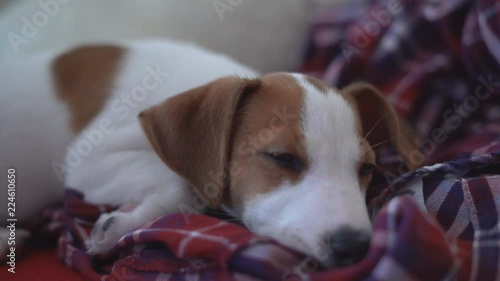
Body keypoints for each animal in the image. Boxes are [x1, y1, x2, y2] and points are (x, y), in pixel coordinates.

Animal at [0, 38, 422, 264]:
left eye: (366, 169)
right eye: (282, 158)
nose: (355, 247)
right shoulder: (89, 159)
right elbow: (186, 185)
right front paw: (119, 225)